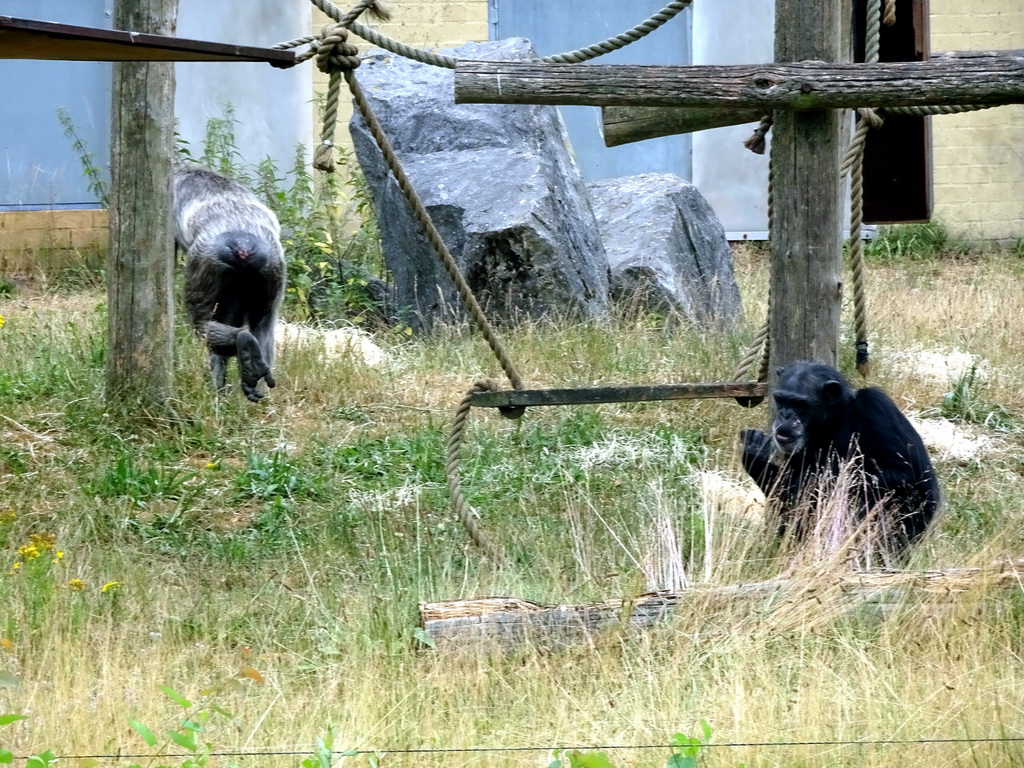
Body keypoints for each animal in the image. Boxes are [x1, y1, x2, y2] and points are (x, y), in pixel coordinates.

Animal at [171, 165, 284, 399]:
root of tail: (243, 246)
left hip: (207, 261)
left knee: (201, 323)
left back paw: (241, 344)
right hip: (272, 268)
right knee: (263, 325)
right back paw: (252, 367)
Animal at [741, 360, 937, 565]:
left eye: (799, 403)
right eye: (781, 400)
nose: (785, 415)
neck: (833, 420)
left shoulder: (876, 406)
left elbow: (903, 474)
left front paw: (819, 479)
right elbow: (785, 494)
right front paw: (756, 453)